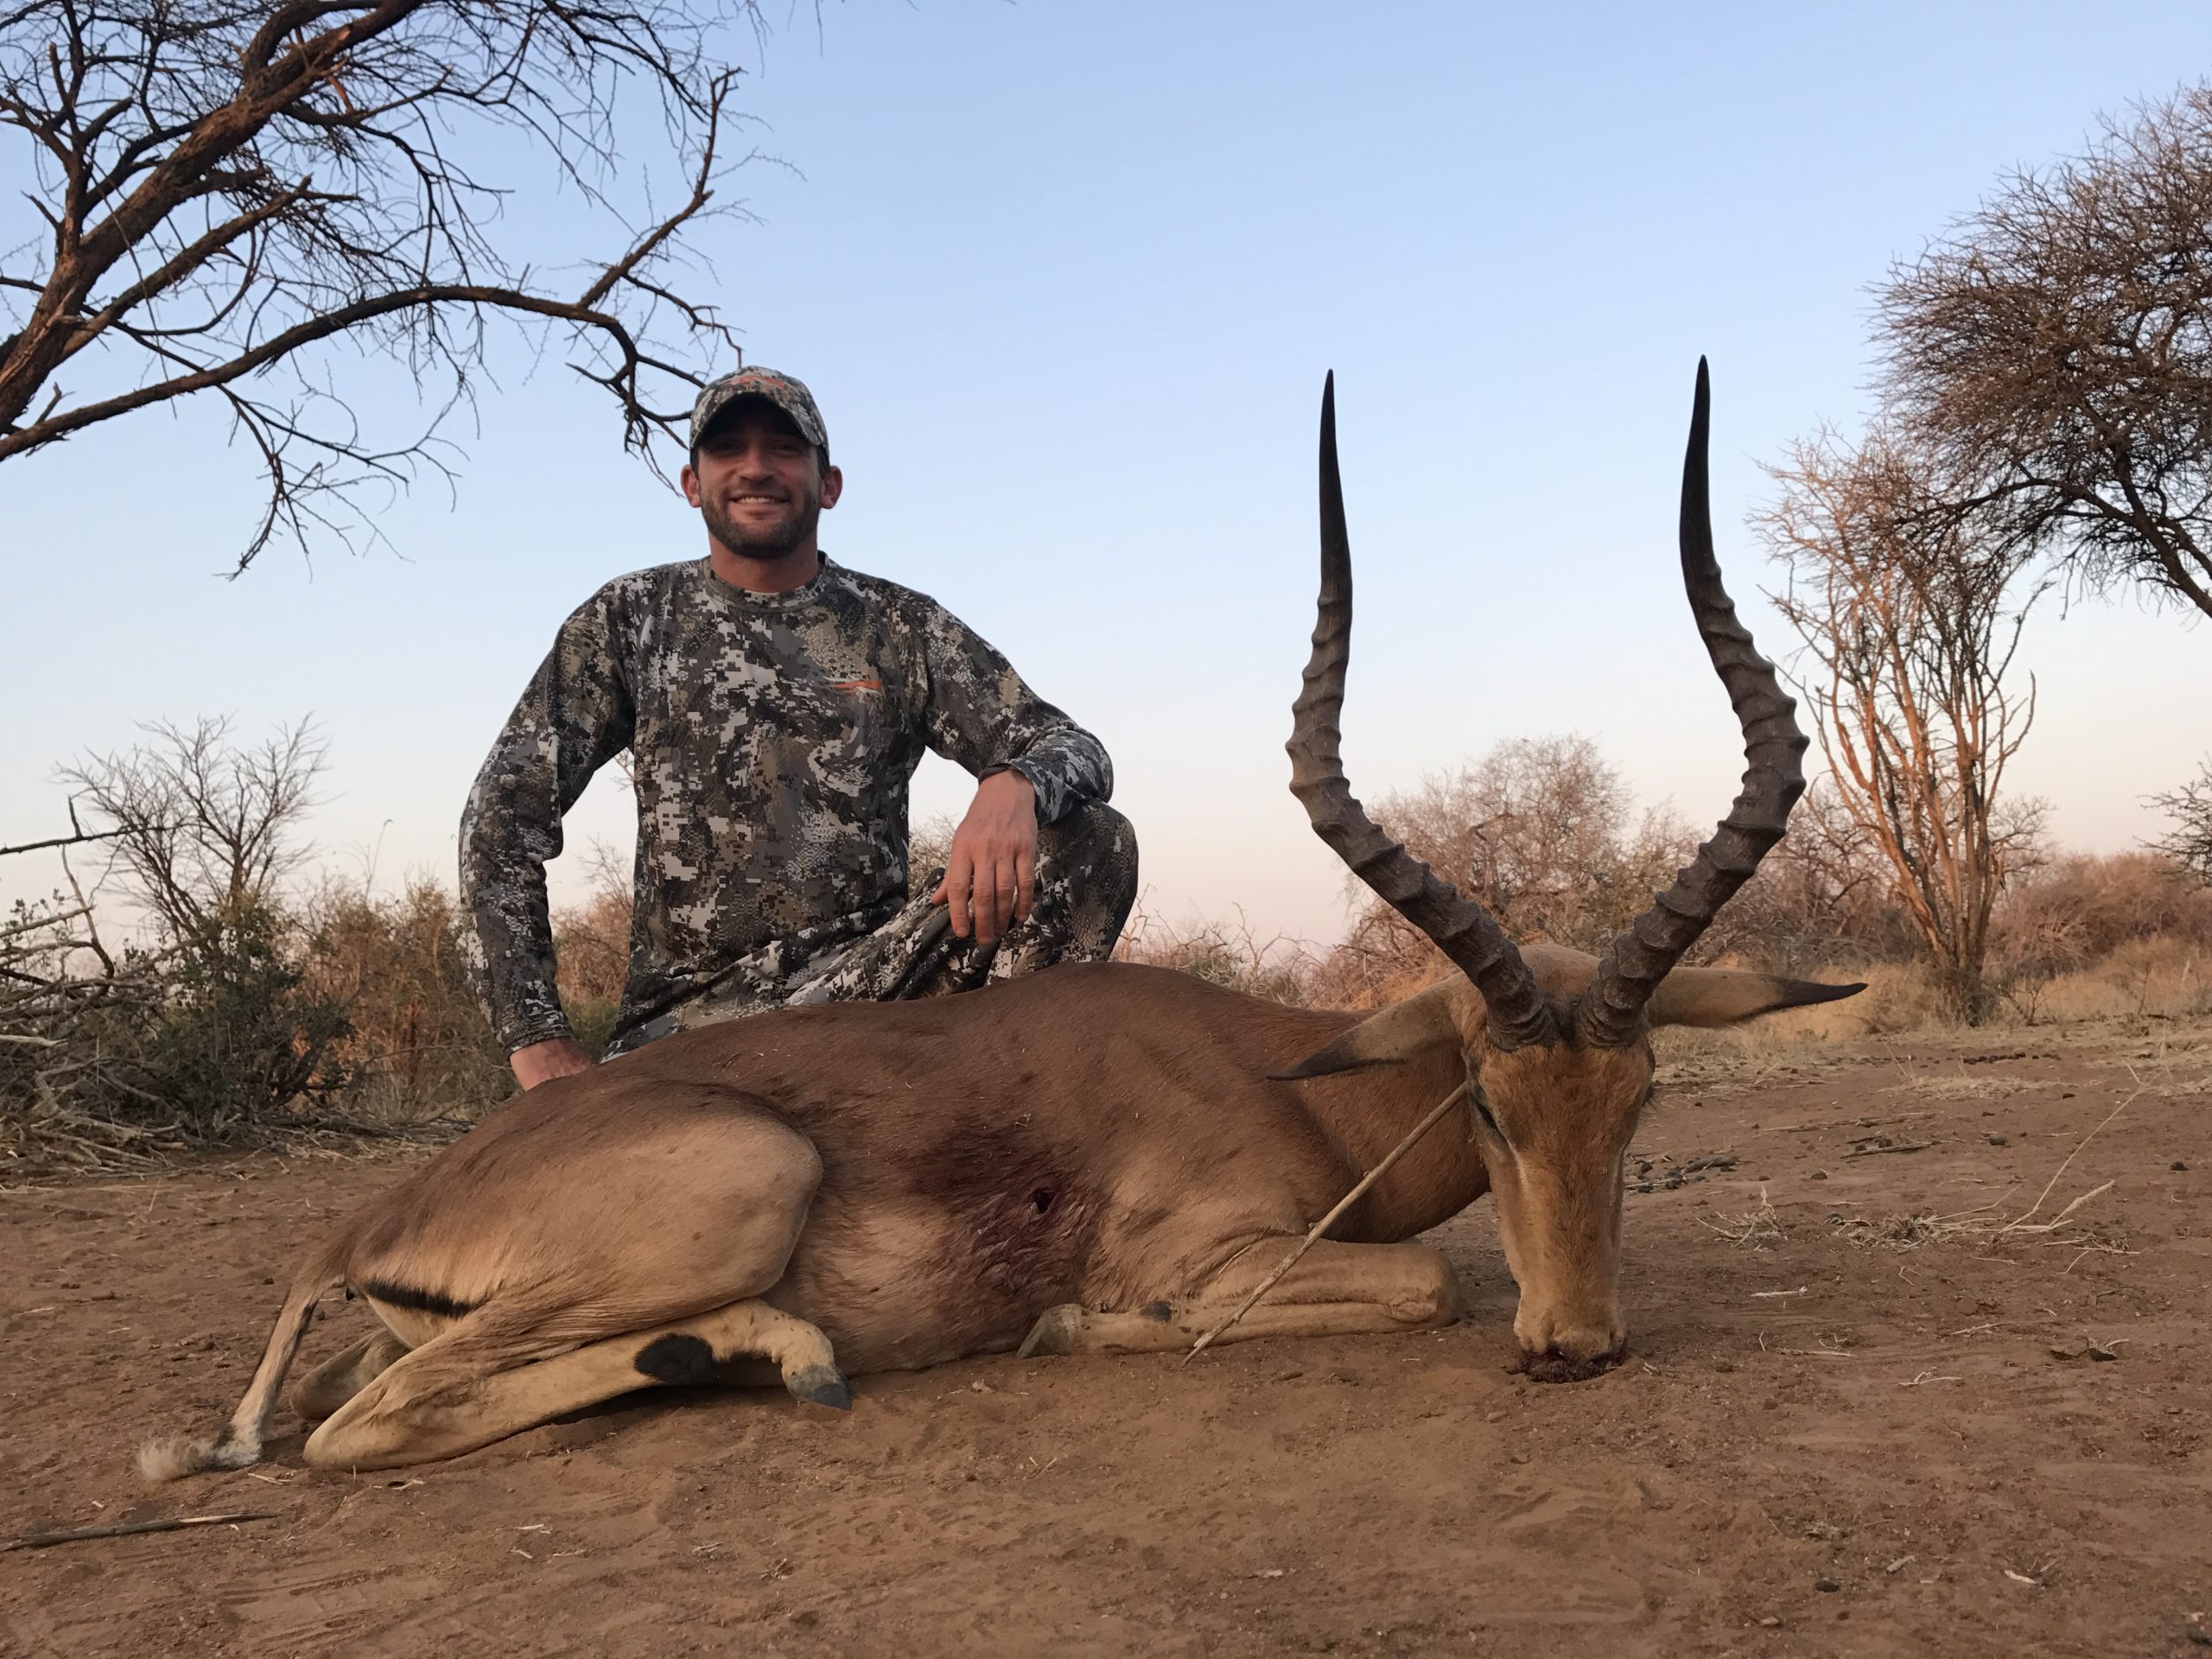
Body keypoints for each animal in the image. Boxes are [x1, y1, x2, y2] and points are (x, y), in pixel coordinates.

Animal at [143, 362, 1859, 1478]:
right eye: (1490, 1104)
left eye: (1641, 1101)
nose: (1579, 1343)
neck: (1284, 1078)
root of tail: (375, 1220)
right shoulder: (1220, 1261)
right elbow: (1431, 1281)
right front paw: (1067, 1330)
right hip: (742, 1183)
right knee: (360, 1429)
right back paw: (787, 1357)